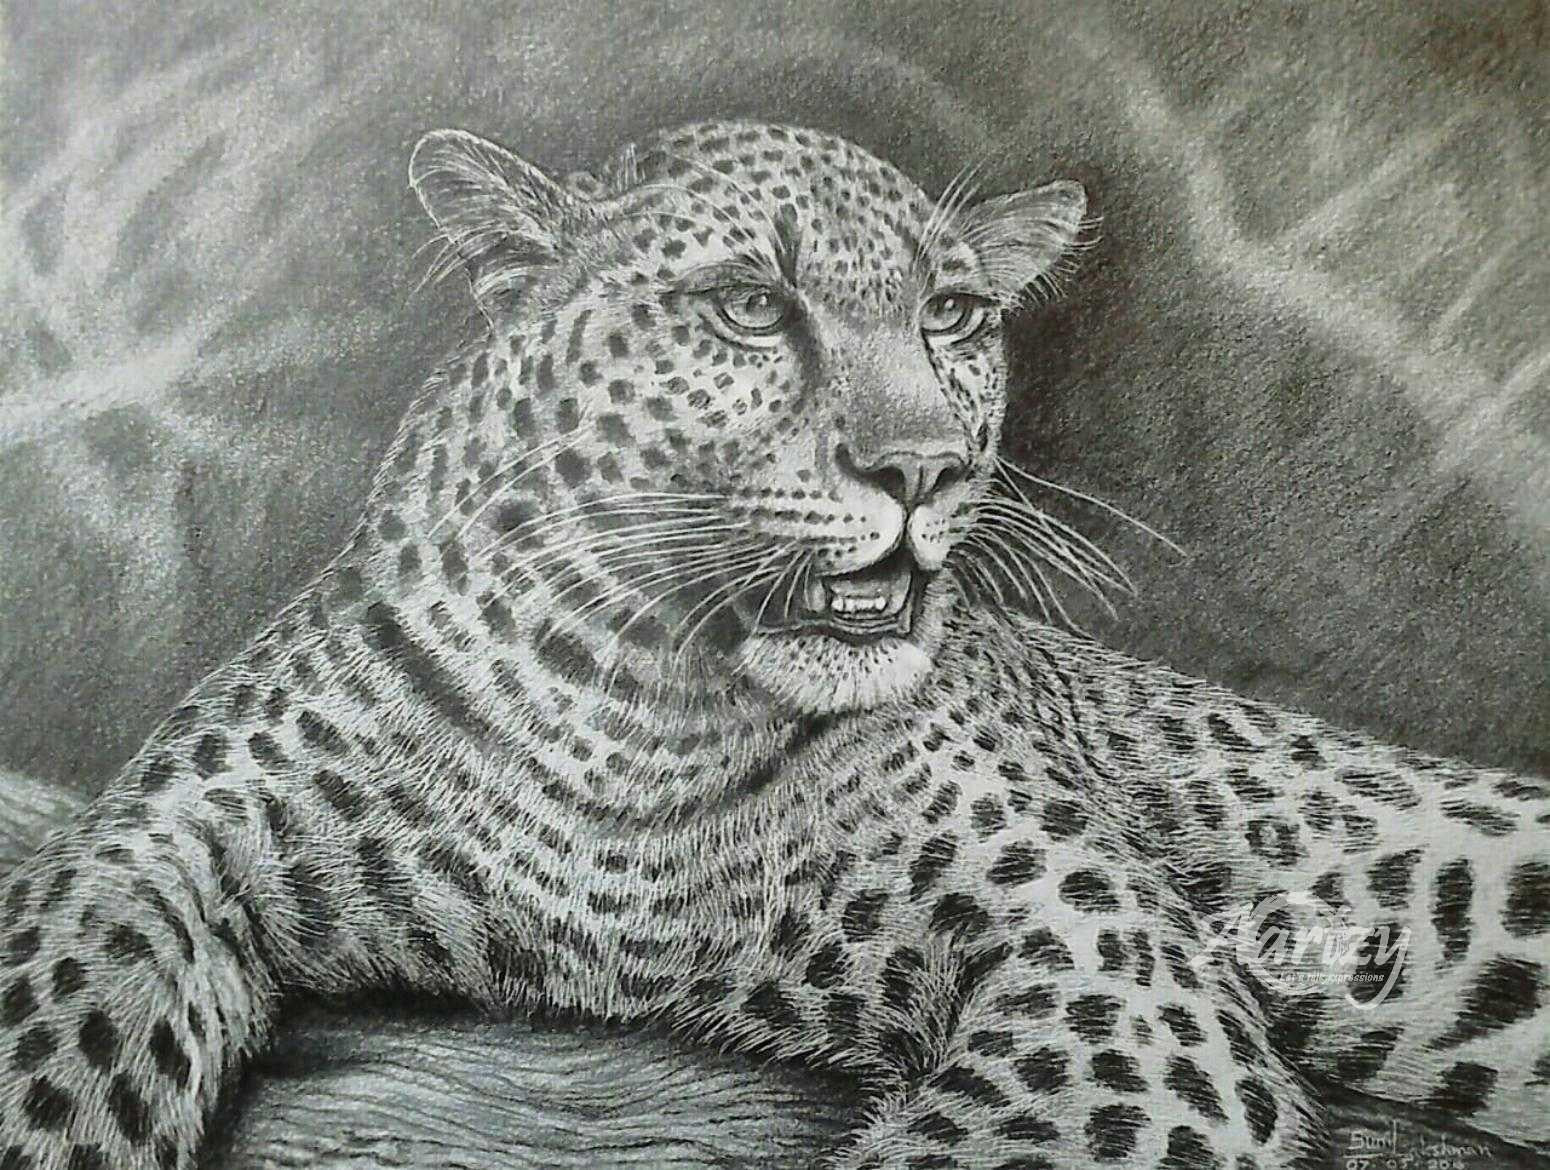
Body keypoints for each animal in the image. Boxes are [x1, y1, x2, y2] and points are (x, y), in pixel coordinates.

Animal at [2, 118, 1548, 1170]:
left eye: (953, 316)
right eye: (751, 305)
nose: (921, 469)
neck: (631, 713)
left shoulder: (1107, 966)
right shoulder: (156, 839)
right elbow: (62, 1031)